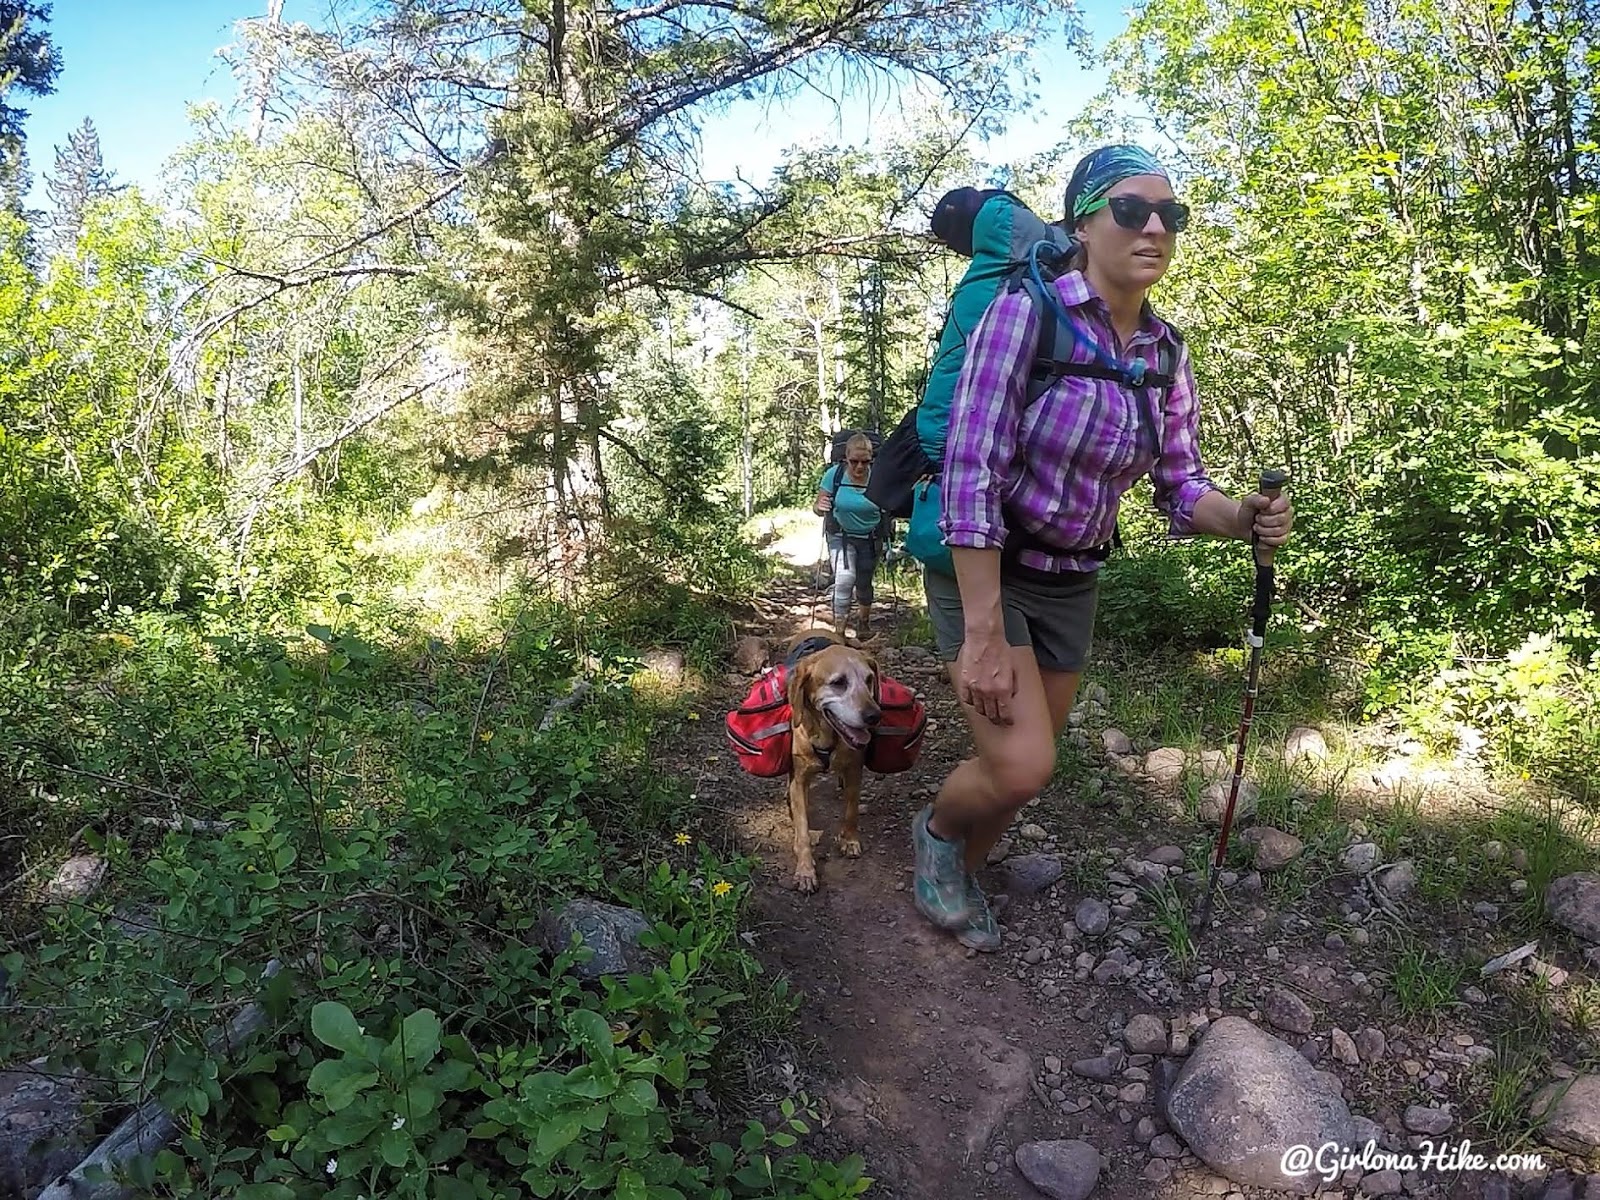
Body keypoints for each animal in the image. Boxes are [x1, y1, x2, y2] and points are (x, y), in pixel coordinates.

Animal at [780, 630, 883, 896]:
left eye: (869, 679)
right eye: (838, 682)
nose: (874, 716)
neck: (828, 735)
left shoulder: (855, 770)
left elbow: (851, 810)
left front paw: (849, 840)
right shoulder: (800, 779)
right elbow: (803, 829)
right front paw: (805, 871)